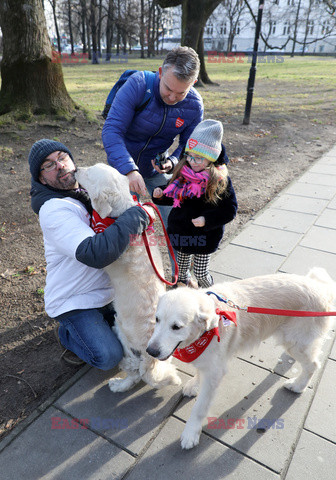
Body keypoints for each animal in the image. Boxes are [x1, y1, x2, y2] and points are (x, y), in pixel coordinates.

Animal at [75, 163, 181, 392]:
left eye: (89, 173)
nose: (76, 169)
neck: (119, 212)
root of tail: (151, 354)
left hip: (121, 331)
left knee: (135, 371)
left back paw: (118, 385)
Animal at [146, 268, 334, 448]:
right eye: (157, 319)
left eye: (176, 327)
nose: (150, 351)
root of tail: (323, 289)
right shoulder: (208, 361)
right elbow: (200, 371)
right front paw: (194, 385)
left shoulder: (215, 372)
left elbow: (199, 408)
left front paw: (190, 433)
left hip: (295, 342)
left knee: (313, 365)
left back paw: (297, 386)